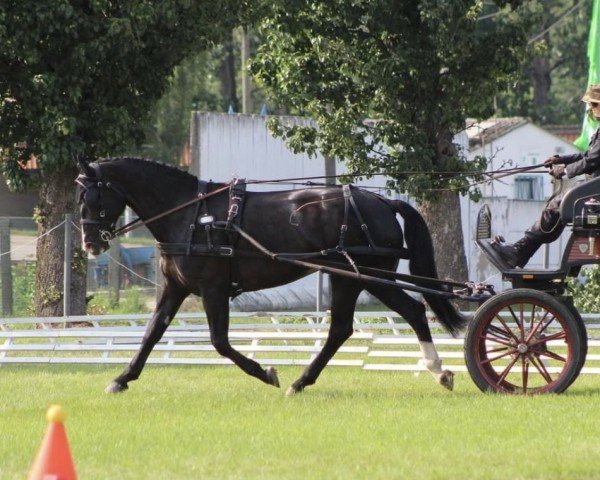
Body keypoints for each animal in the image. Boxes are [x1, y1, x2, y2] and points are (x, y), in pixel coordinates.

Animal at [76, 158, 468, 394]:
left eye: (91, 198)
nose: (90, 244)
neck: (191, 214)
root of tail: (383, 202)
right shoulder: (175, 287)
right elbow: (152, 332)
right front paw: (122, 378)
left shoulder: (213, 288)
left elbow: (220, 342)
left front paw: (265, 372)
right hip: (349, 278)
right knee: (347, 327)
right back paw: (304, 381)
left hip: (365, 276)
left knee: (409, 312)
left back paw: (437, 370)